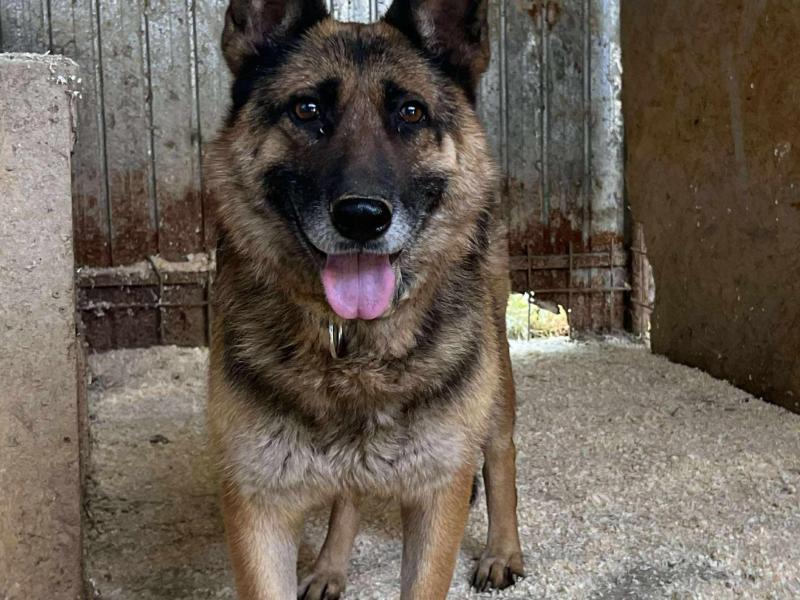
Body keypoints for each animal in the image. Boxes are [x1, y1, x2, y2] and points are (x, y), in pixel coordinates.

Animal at [206, 0, 524, 597]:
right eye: (307, 109)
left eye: (411, 113)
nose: (361, 218)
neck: (353, 347)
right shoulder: (257, 508)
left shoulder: (436, 499)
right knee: (349, 491)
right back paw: (331, 565)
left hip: (494, 367)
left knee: (499, 451)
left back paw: (502, 550)